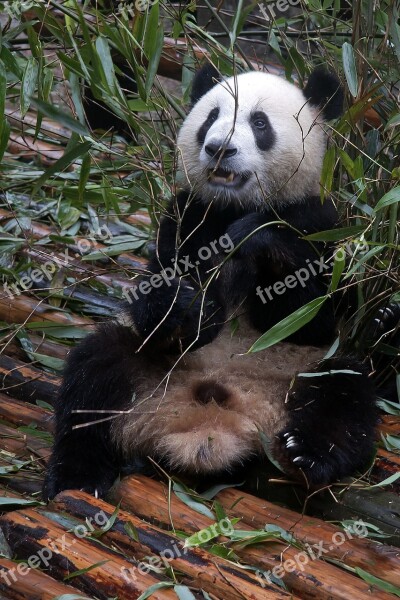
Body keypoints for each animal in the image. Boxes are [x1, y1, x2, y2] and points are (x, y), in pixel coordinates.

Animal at [42, 63, 380, 500]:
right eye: (210, 118)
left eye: (259, 122)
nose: (219, 148)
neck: (235, 206)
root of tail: (211, 428)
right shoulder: (187, 215)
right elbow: (158, 287)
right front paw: (188, 308)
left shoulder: (320, 224)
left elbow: (311, 314)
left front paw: (255, 239)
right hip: (148, 371)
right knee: (95, 375)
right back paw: (77, 477)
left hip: (299, 372)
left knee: (343, 392)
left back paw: (305, 455)